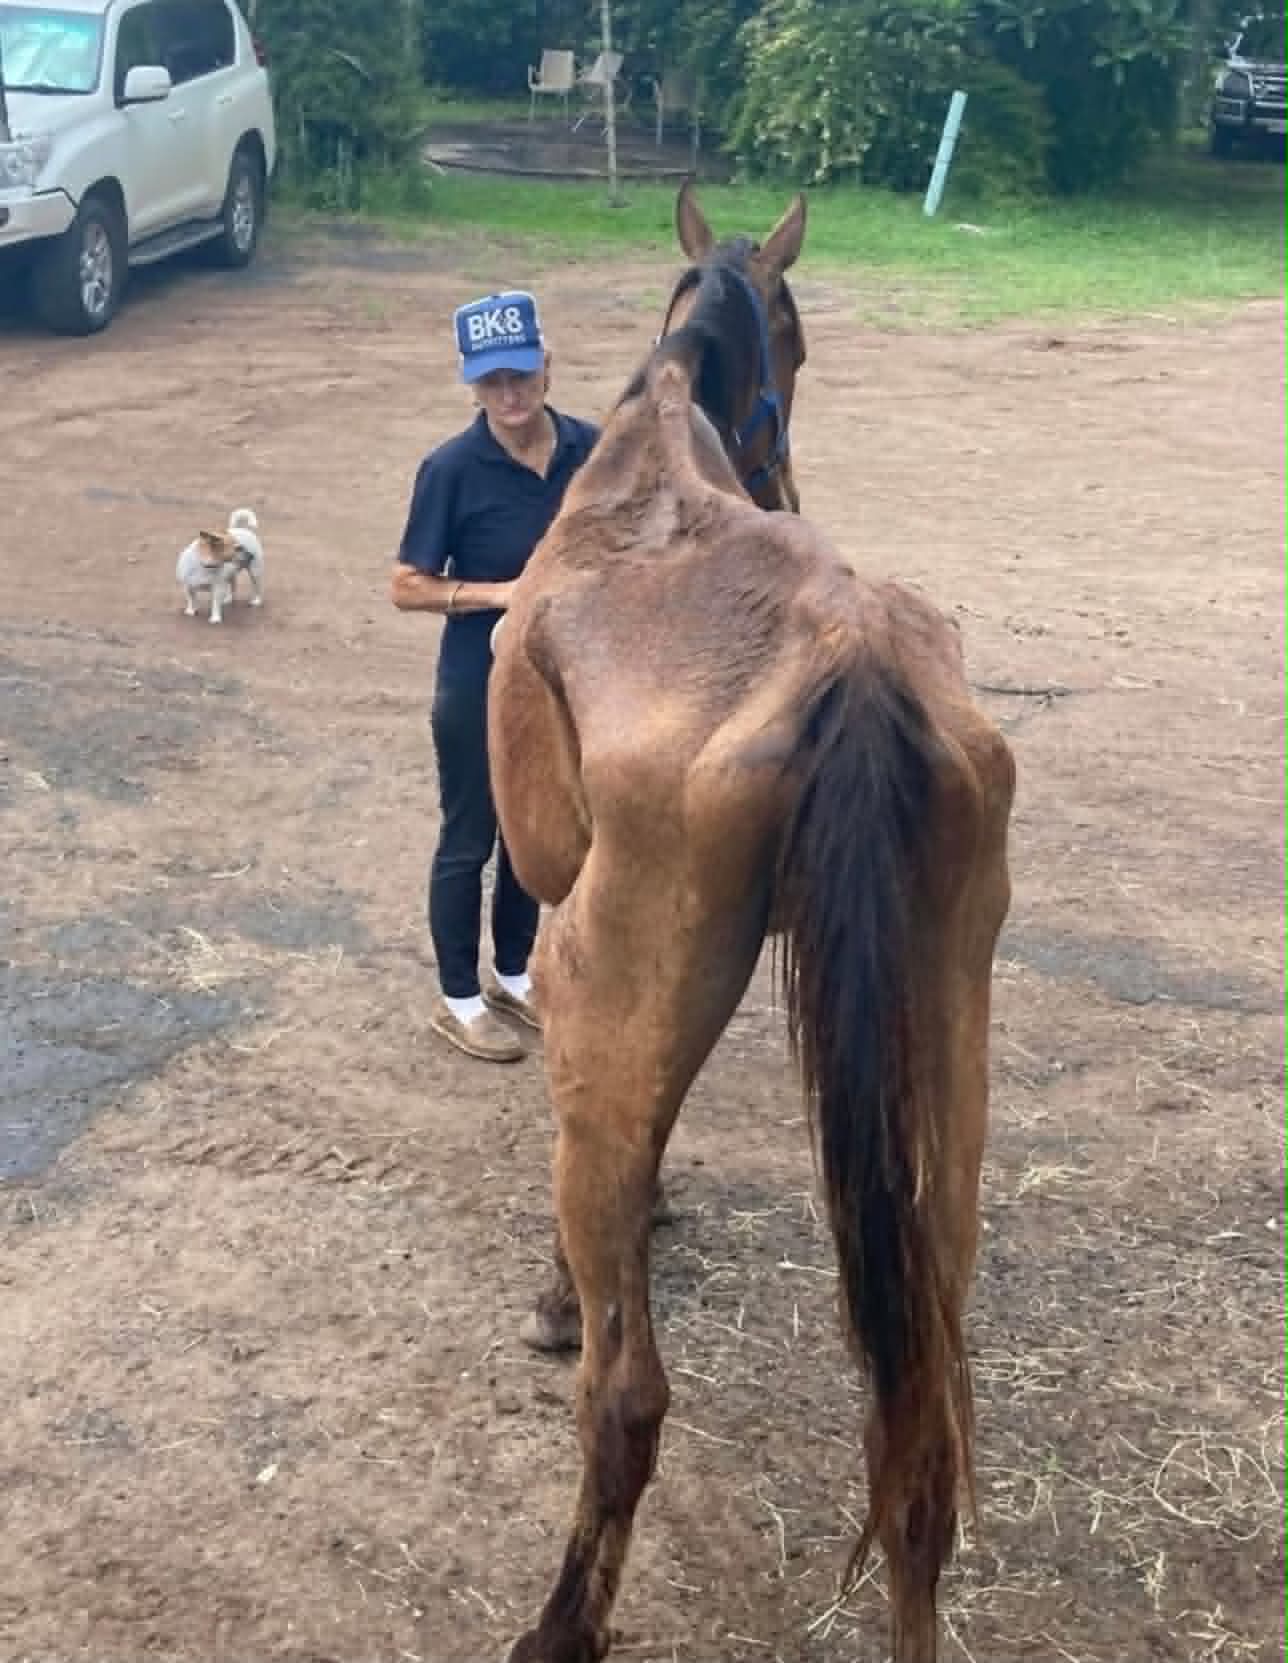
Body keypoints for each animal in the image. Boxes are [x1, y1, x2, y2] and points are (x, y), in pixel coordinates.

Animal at [487, 183, 1016, 1663]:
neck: (656, 442)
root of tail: (848, 653)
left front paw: (569, 1286)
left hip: (609, 998)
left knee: (628, 1398)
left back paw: (561, 1623)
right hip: (940, 1063)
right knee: (921, 1423)